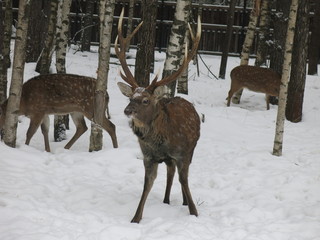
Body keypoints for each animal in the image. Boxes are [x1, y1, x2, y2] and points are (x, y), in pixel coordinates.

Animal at [114, 8, 200, 223]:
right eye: (131, 97)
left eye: (145, 100)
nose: (127, 111)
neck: (161, 142)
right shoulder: (148, 157)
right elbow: (147, 184)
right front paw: (135, 218)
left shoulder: (183, 152)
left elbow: (184, 180)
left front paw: (194, 211)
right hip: (168, 160)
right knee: (170, 172)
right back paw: (166, 200)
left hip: (192, 148)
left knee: (179, 174)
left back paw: (182, 201)